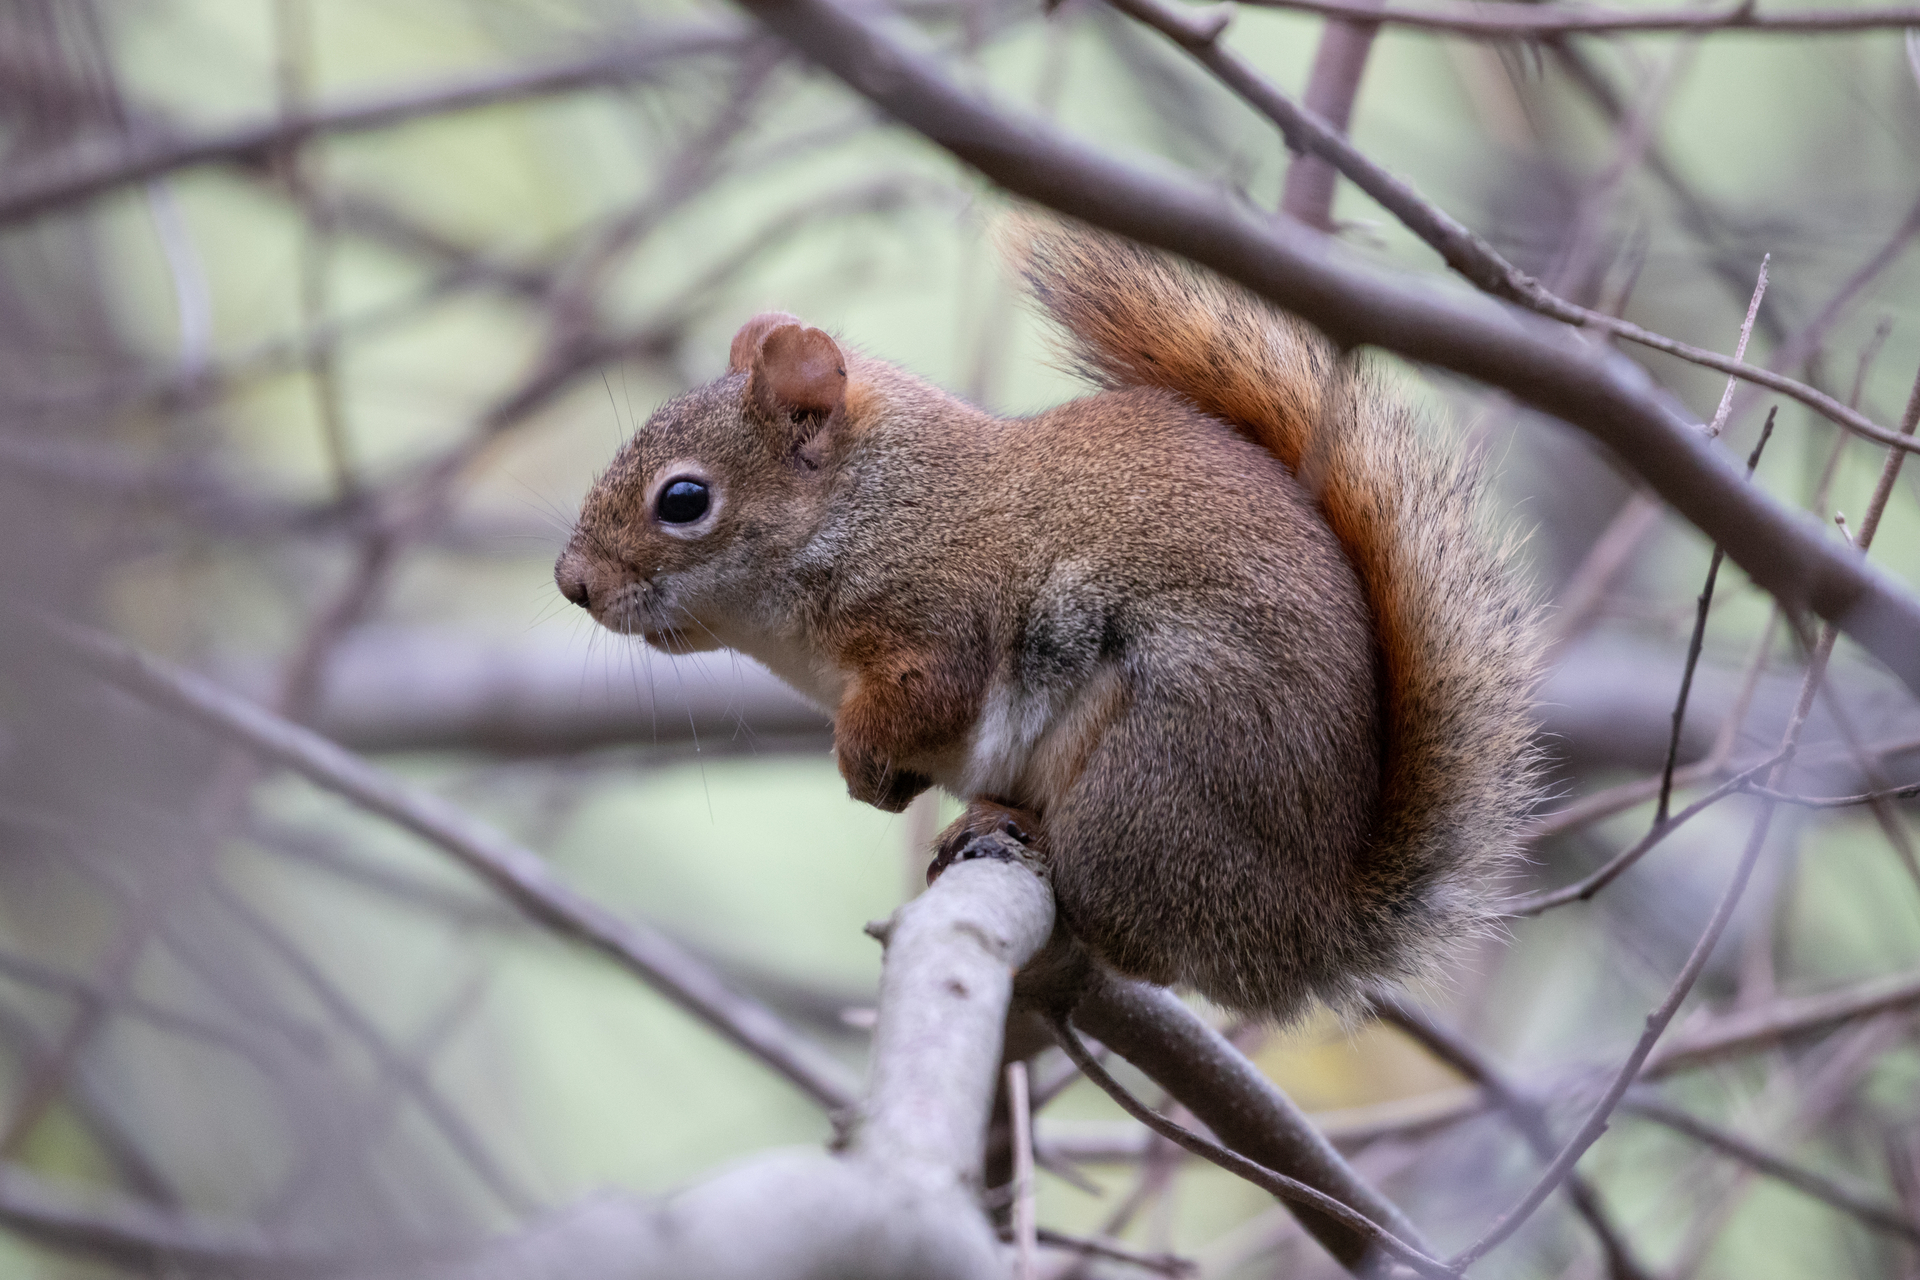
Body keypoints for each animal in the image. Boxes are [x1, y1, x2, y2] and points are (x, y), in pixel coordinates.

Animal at [560, 225, 1543, 1013]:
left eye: (684, 500)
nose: (572, 583)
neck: (872, 509)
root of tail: (1302, 928)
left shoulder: (939, 620)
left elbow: (924, 700)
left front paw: (863, 764)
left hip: (1146, 778)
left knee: (1135, 933)